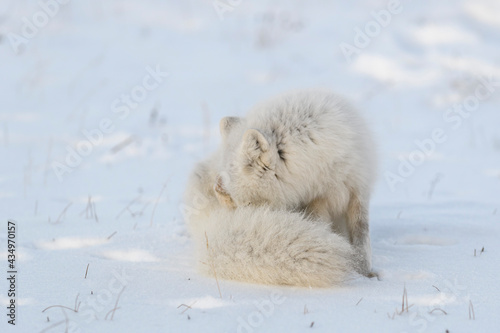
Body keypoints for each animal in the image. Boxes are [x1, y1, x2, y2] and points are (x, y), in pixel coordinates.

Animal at [184, 89, 376, 286]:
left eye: (247, 205)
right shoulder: (316, 203)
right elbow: (324, 228)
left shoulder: (358, 189)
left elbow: (361, 236)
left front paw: (364, 271)